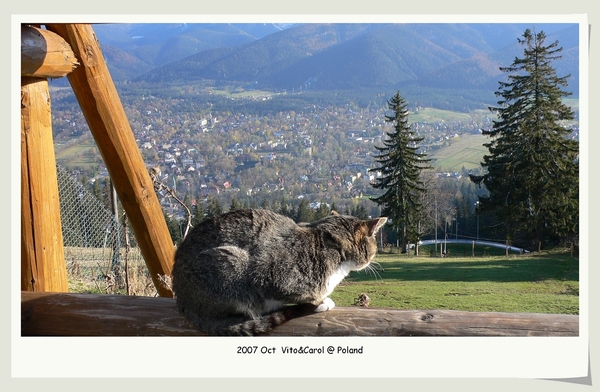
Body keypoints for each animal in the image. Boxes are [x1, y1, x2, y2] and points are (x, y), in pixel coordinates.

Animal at [172, 210, 390, 336]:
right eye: (373, 248)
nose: (372, 259)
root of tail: (182, 301)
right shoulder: (273, 276)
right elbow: (305, 296)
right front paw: (321, 303)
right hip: (229, 260)